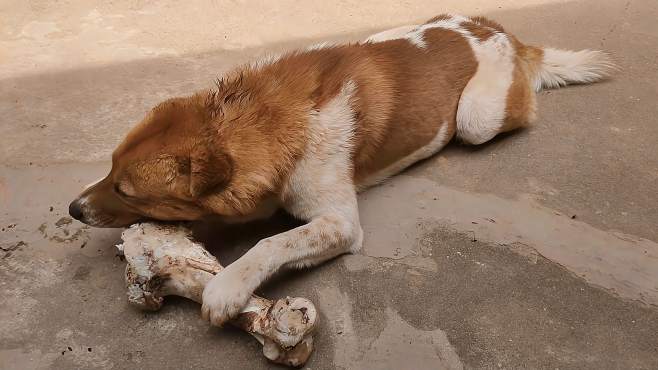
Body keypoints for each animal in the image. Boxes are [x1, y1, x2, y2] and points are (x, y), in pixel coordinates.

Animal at [69, 14, 612, 326]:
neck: (268, 118)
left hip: (476, 119)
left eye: (127, 190)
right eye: (109, 167)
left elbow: (273, 242)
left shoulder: (340, 223)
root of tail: (498, 31)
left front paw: (230, 285)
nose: (73, 209)